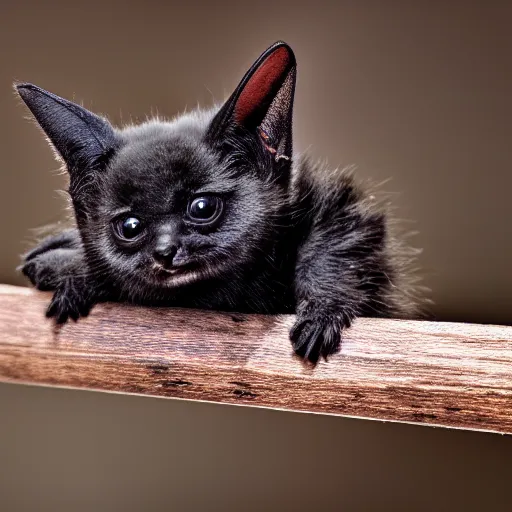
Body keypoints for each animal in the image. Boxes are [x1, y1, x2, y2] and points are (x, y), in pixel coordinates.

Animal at [16, 43, 424, 364]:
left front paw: (321, 316)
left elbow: (329, 246)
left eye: (202, 208)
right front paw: (70, 268)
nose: (165, 251)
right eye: (129, 227)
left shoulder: (341, 211)